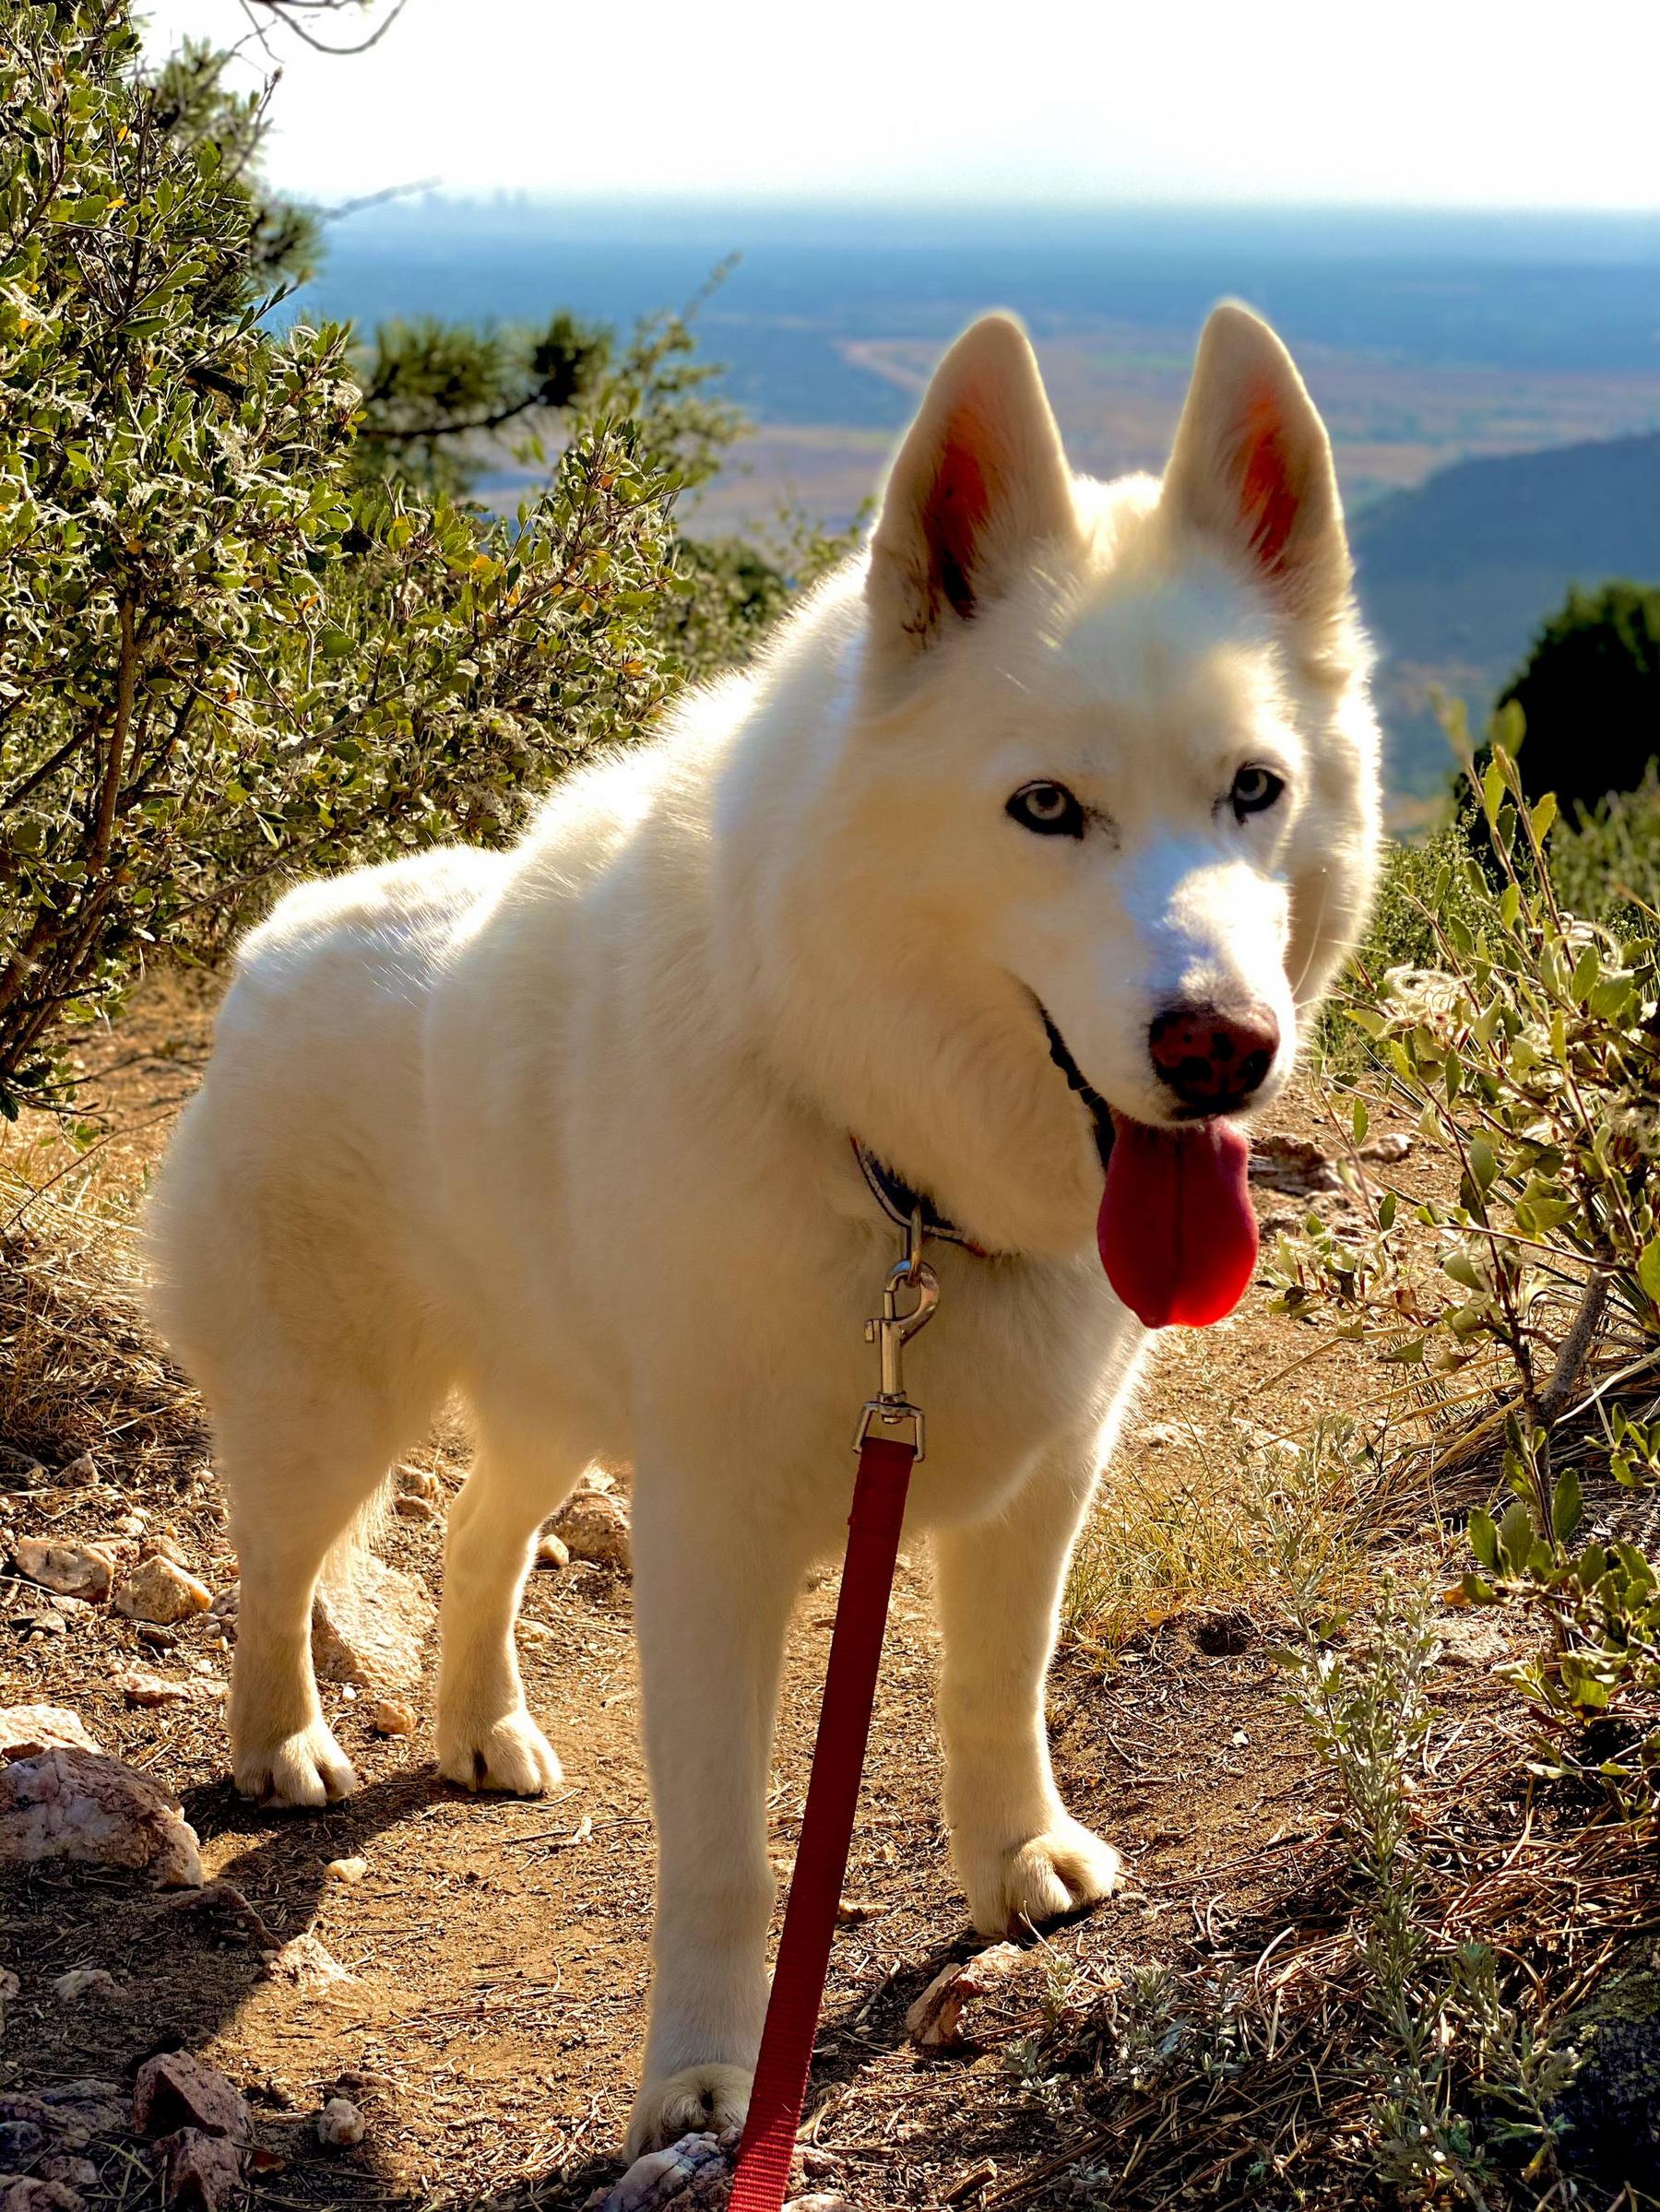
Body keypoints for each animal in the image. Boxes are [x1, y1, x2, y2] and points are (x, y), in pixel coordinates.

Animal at [149, 302, 1381, 2149]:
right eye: (1045, 808)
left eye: (1254, 788)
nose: (1220, 1045)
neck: (898, 1180)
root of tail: (280, 934)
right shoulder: (717, 1543)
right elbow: (731, 1854)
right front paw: (707, 2079)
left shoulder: (1031, 1495)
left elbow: (995, 1697)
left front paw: (1018, 1862)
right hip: (329, 1418)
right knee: (272, 1573)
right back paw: (281, 1745)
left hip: (553, 1410)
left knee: (476, 1537)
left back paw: (479, 1727)